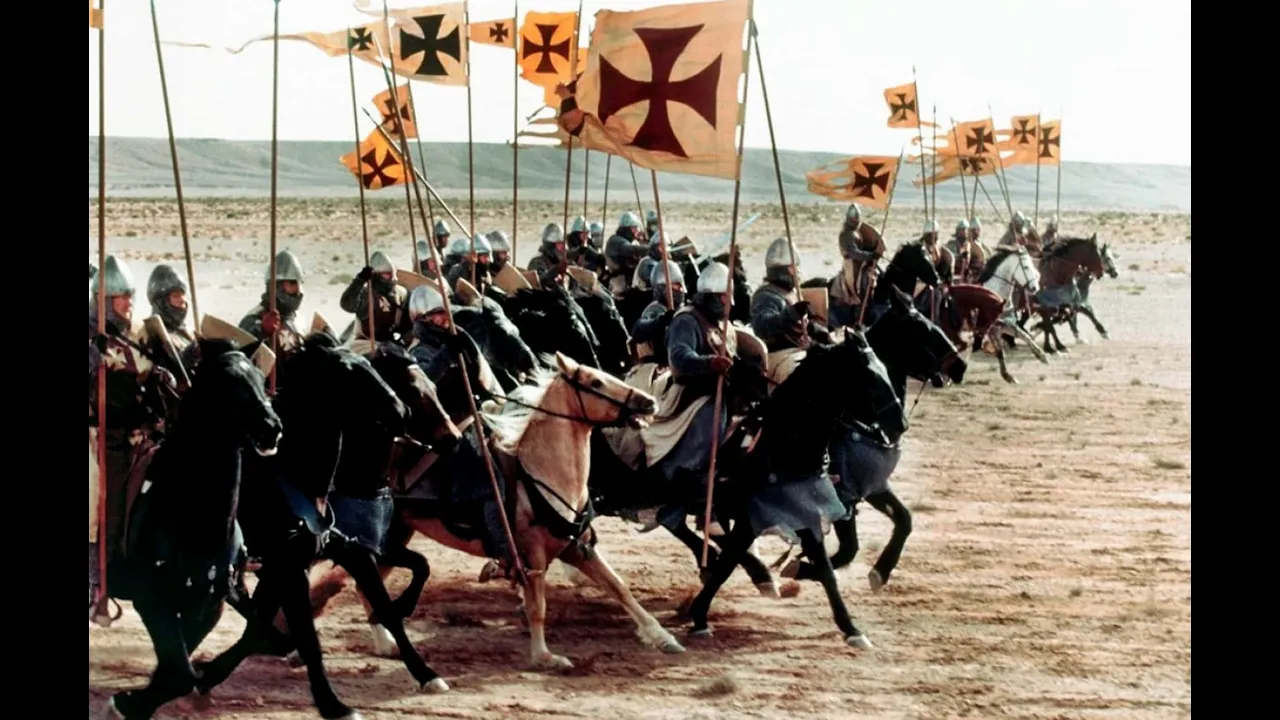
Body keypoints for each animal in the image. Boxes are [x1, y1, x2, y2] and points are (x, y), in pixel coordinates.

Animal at [99, 339, 283, 720]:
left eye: (261, 378)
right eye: (227, 382)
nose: (271, 427)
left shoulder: (208, 606)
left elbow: (176, 670)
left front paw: (134, 702)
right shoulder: (151, 599)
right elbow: (180, 672)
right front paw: (125, 703)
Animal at [191, 334, 455, 720]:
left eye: (434, 387)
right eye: (414, 389)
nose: (453, 438)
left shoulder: (353, 551)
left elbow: (398, 593)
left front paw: (426, 673)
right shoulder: (294, 560)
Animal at [684, 331, 907, 649]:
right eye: (869, 378)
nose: (899, 424)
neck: (781, 446)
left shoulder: (826, 506)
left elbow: (837, 561)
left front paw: (851, 624)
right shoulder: (763, 517)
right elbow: (730, 561)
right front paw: (700, 616)